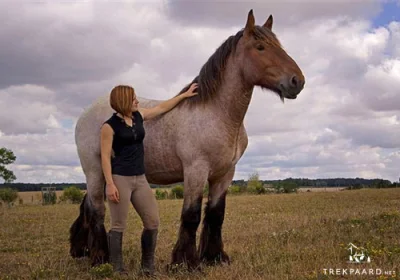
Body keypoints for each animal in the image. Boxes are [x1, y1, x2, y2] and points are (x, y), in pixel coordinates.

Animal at [69, 9, 306, 270]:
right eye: (260, 47)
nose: (297, 81)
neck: (216, 114)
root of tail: (85, 113)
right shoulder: (196, 171)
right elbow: (191, 215)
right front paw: (186, 262)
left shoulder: (224, 174)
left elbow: (216, 214)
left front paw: (214, 257)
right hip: (95, 171)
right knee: (97, 210)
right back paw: (100, 257)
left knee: (88, 206)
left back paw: (82, 250)